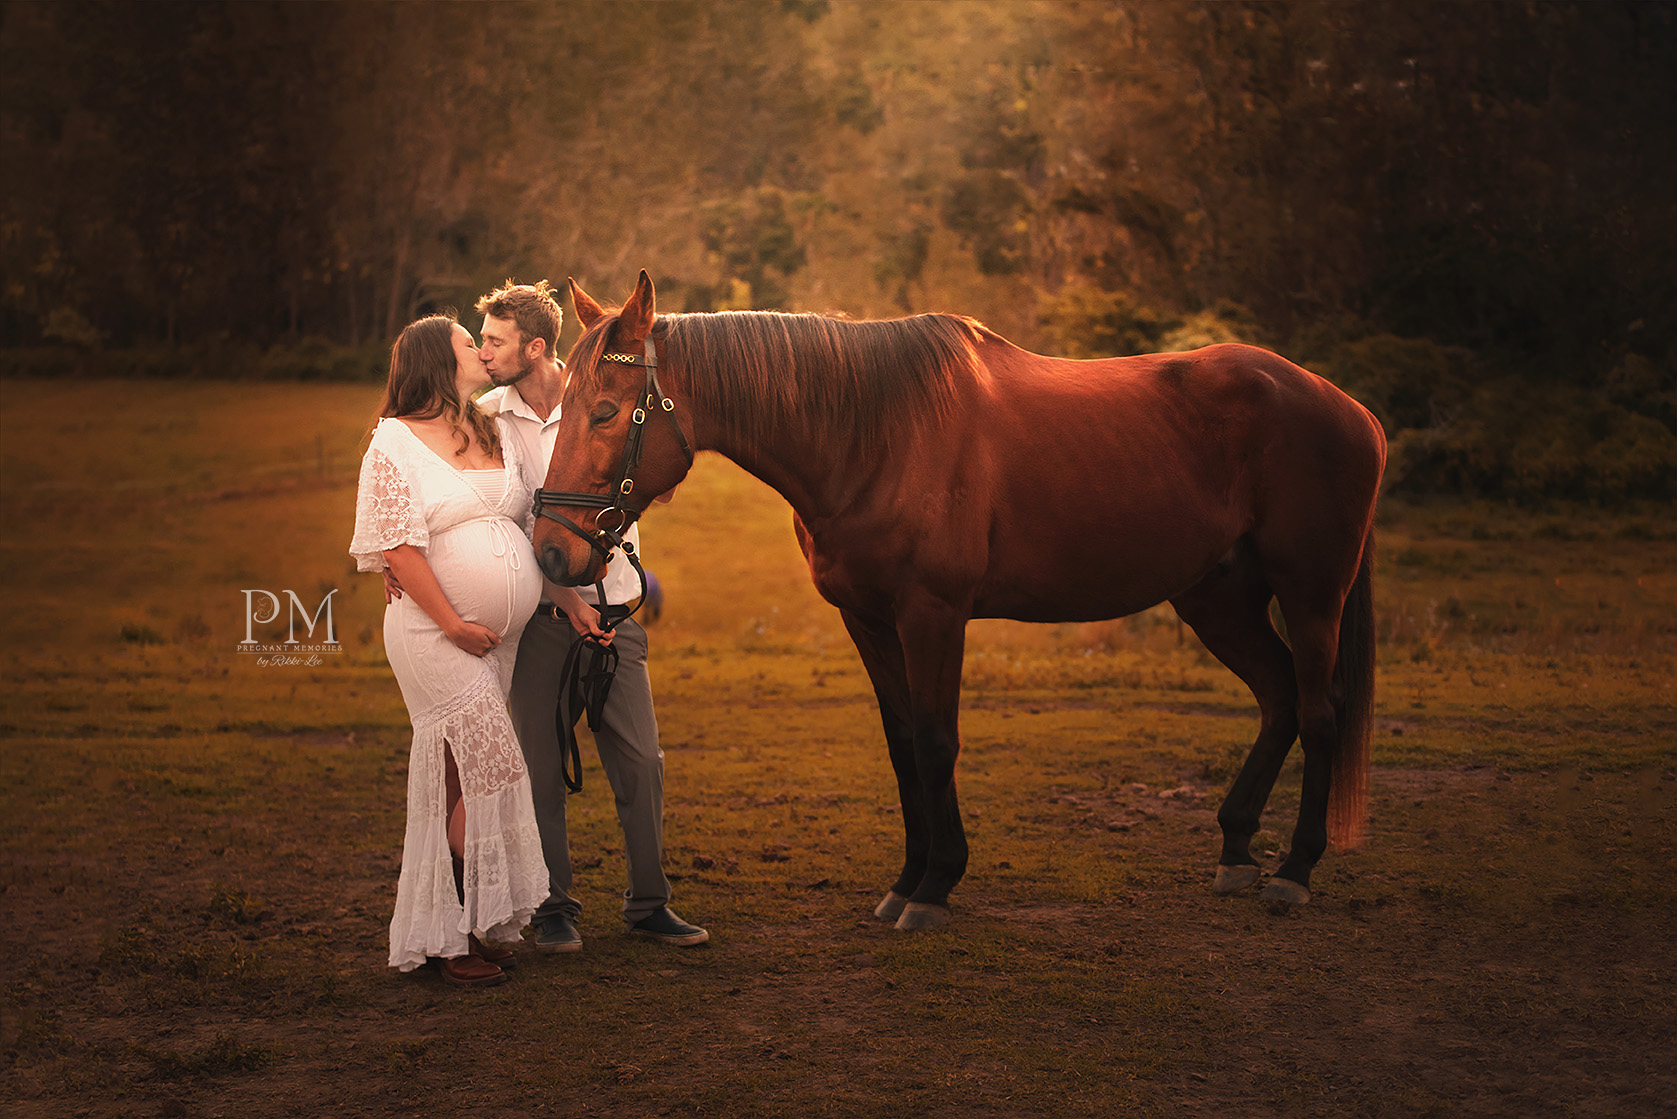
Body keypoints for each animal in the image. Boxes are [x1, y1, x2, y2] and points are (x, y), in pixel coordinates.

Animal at [536, 275, 1388, 932]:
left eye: (604, 412)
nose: (551, 551)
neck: (872, 433)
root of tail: (1349, 408)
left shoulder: (933, 617)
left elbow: (936, 740)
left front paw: (937, 883)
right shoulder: (868, 620)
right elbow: (902, 742)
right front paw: (906, 880)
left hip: (1311, 595)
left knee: (1318, 711)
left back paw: (1294, 868)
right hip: (1217, 599)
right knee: (1278, 699)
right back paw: (1237, 849)